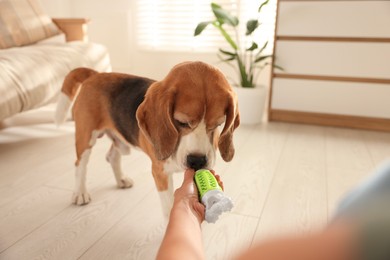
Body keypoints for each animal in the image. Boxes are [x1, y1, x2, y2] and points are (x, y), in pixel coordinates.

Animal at [53, 61, 239, 217]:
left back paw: (121, 179)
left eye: (218, 124)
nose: (197, 161)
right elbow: (168, 206)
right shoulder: (160, 173)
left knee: (112, 156)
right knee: (80, 164)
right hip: (86, 136)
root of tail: (95, 74)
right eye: (181, 122)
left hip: (121, 142)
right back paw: (80, 193)